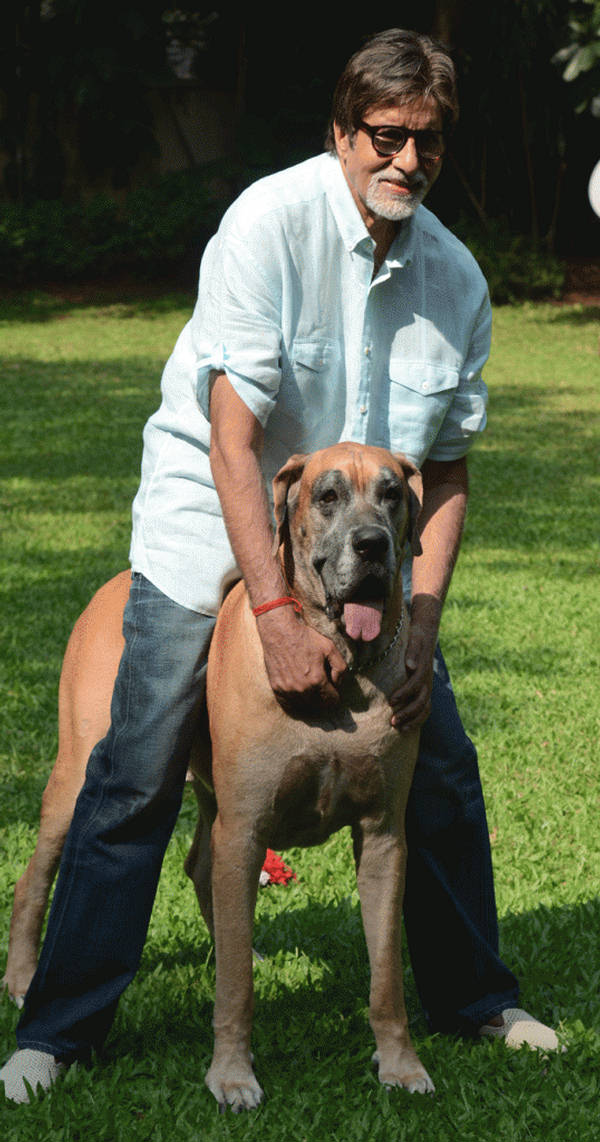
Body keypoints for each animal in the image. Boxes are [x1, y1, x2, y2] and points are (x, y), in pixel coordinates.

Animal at [5, 443, 434, 1105]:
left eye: (392, 494)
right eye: (327, 496)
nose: (372, 545)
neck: (346, 669)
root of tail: (116, 585)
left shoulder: (384, 834)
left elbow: (386, 974)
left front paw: (401, 1064)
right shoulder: (246, 826)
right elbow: (235, 992)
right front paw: (232, 1074)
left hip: (213, 803)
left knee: (200, 870)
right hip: (76, 779)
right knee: (35, 878)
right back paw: (26, 985)